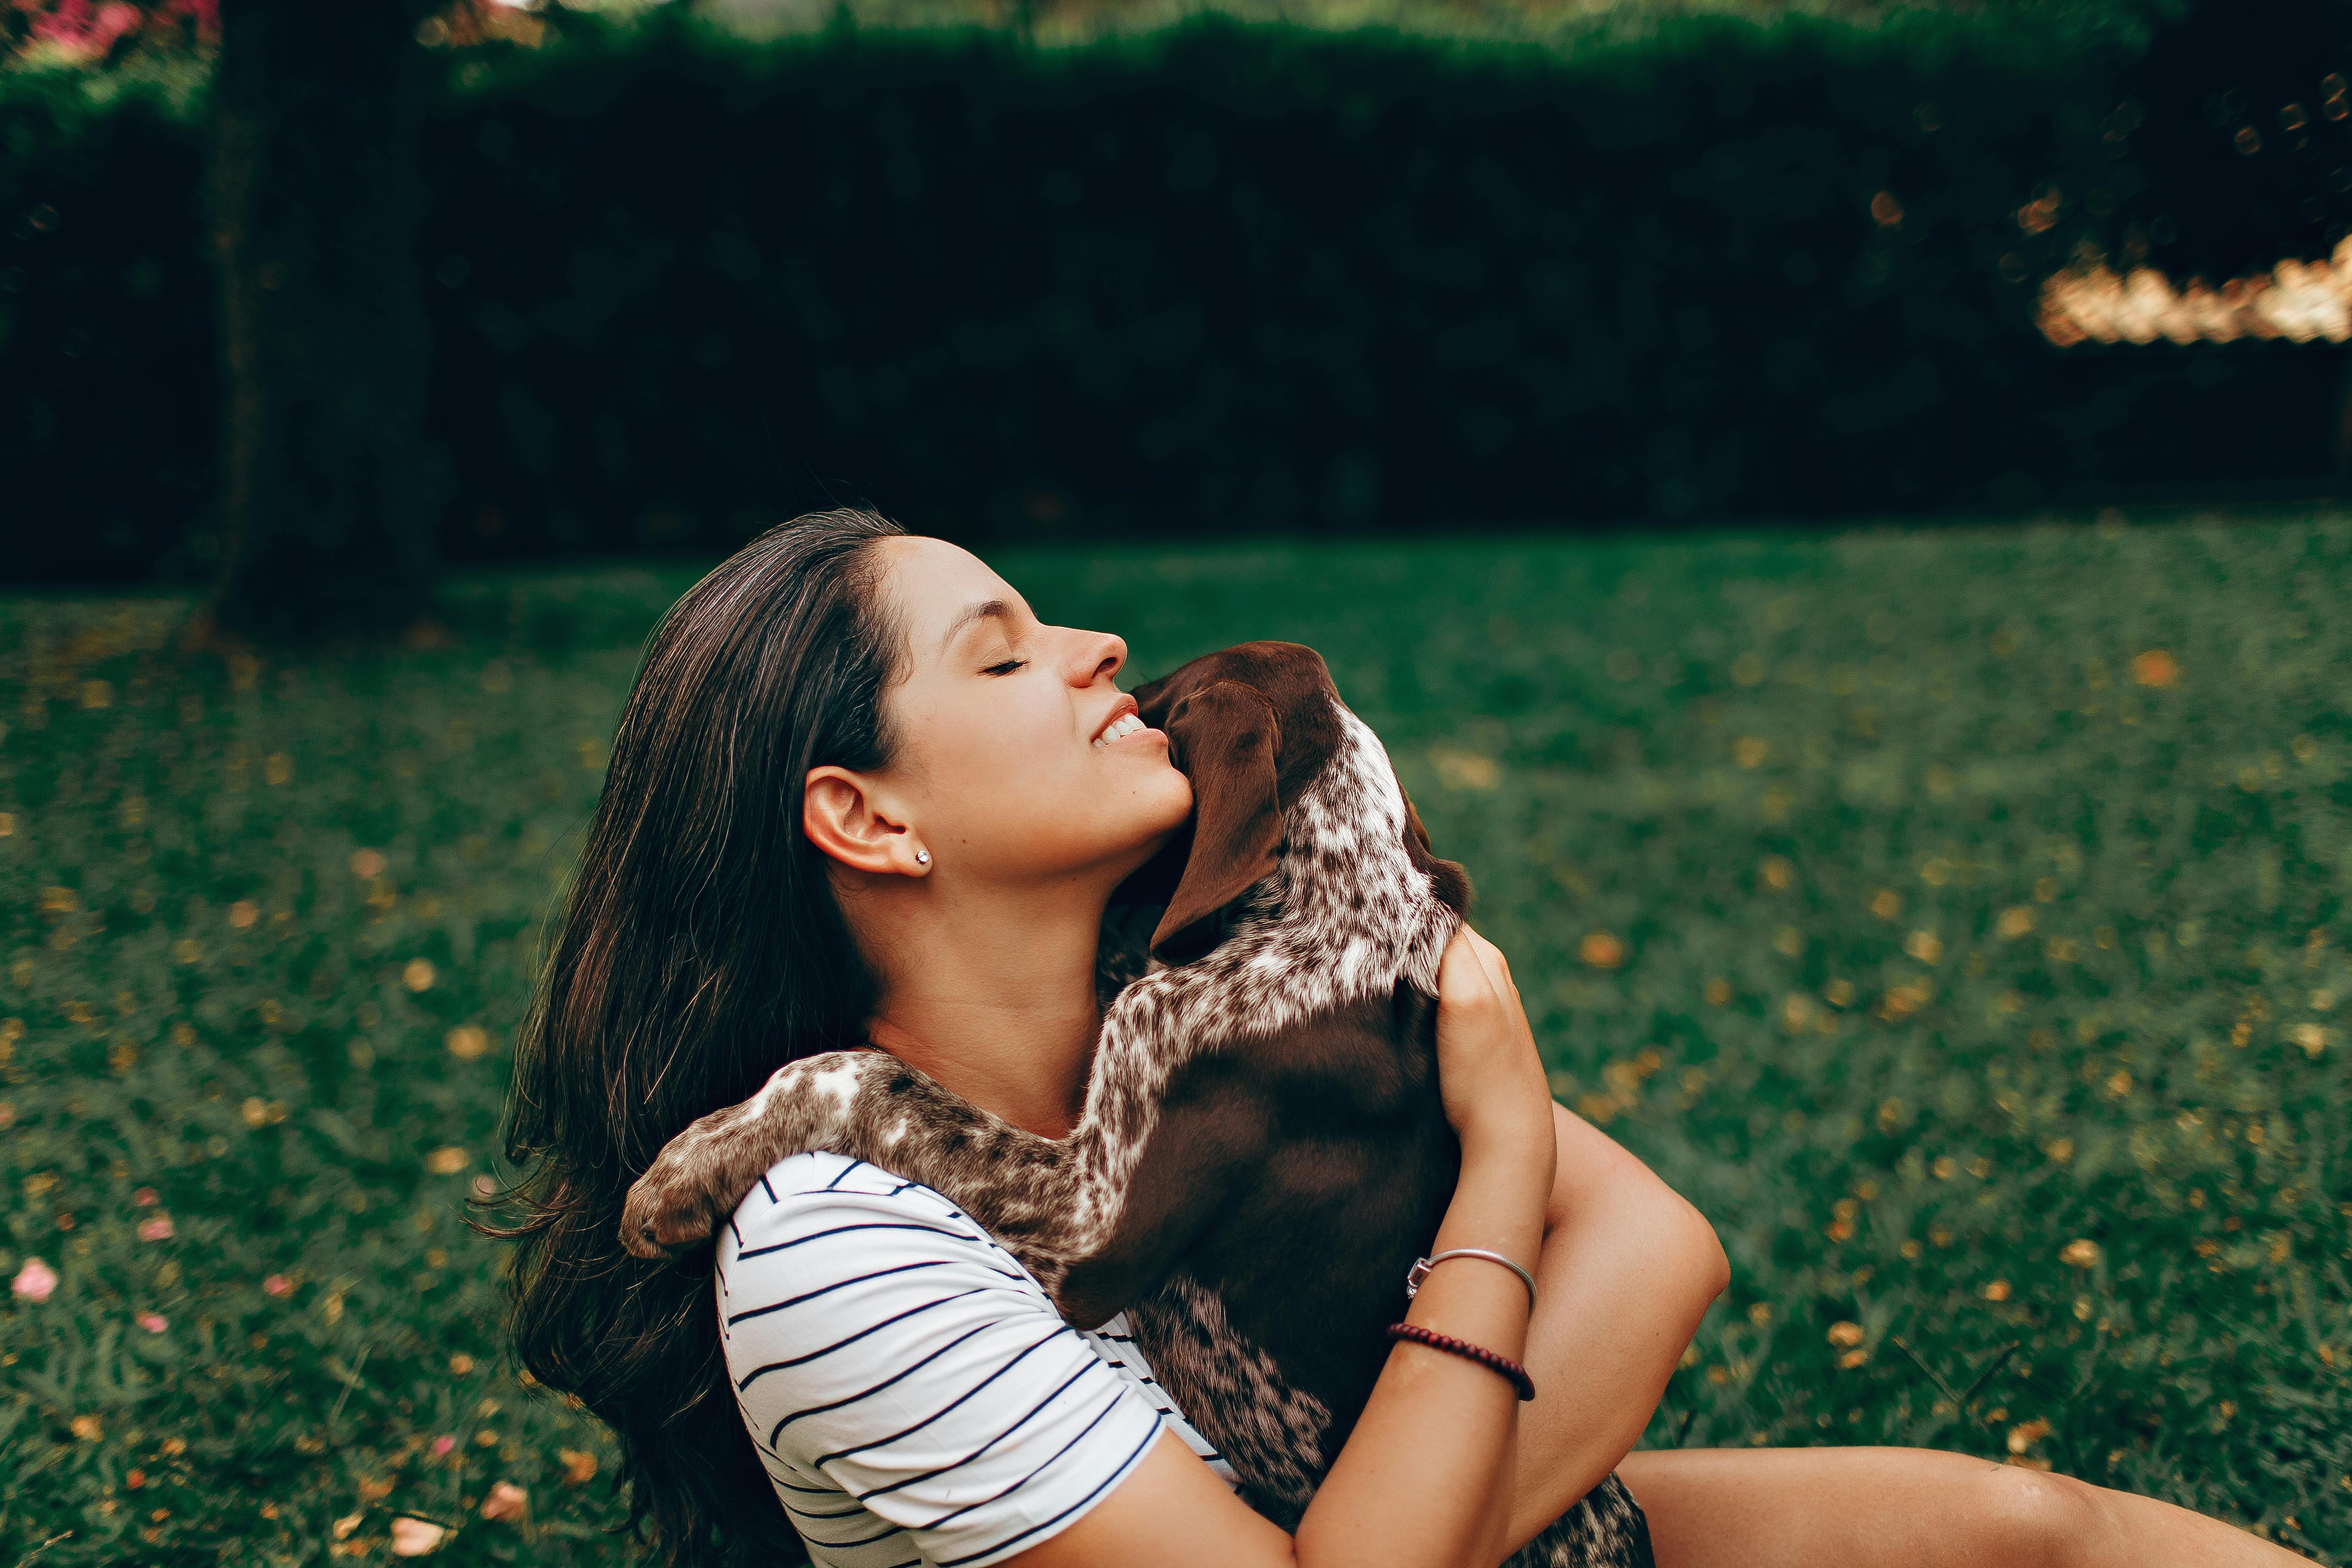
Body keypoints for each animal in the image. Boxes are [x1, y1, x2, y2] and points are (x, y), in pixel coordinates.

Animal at [625, 639, 1656, 1568]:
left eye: (1147, 704)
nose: (1110, 669)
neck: (1328, 910)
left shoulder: (1092, 1221)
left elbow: (869, 1076)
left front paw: (686, 1167)